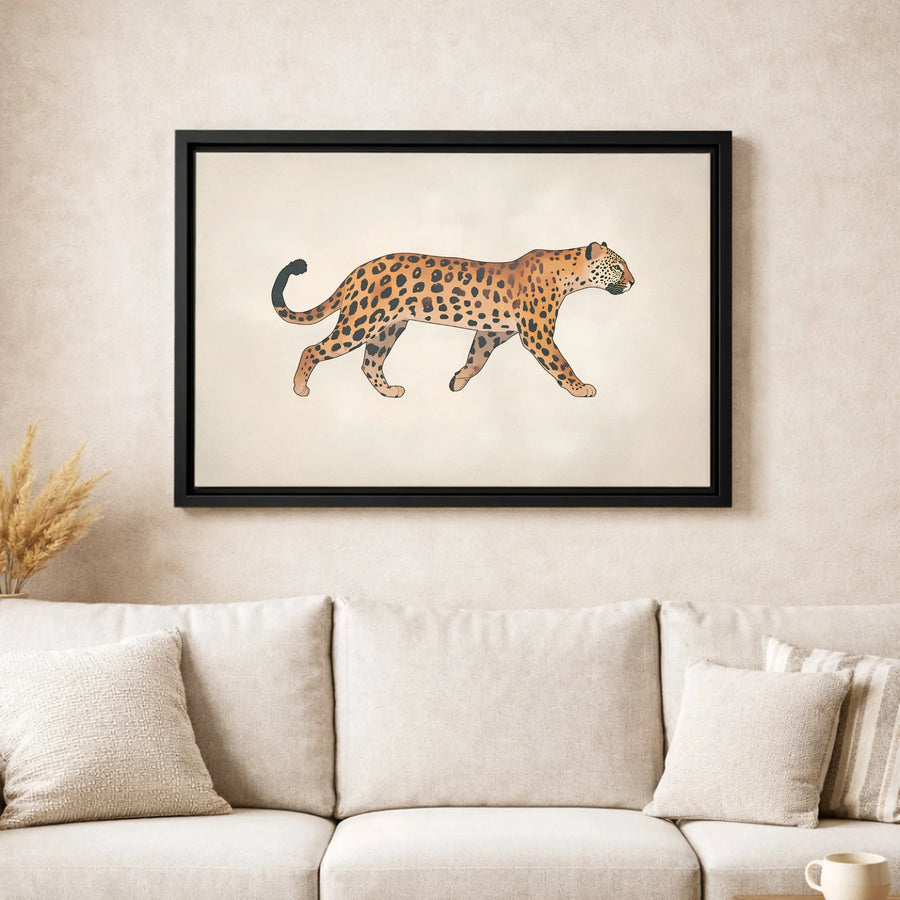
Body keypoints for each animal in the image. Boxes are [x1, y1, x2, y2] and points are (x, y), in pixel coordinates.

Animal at [271, 242, 634, 398]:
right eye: (618, 266)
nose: (633, 281)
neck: (569, 275)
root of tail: (357, 271)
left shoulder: (494, 332)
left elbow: (477, 359)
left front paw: (457, 381)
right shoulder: (536, 334)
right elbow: (560, 363)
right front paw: (580, 387)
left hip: (388, 328)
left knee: (369, 363)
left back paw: (390, 391)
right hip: (361, 322)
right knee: (313, 349)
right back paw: (300, 388)